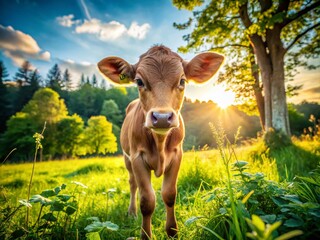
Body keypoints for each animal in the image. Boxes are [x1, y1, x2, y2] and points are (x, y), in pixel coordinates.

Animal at [99, 46, 224, 239]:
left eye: (182, 81)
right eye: (139, 81)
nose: (162, 117)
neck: (159, 143)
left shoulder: (177, 155)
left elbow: (169, 194)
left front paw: (172, 232)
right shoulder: (137, 157)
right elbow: (147, 200)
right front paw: (145, 234)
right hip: (127, 159)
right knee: (132, 183)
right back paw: (132, 212)